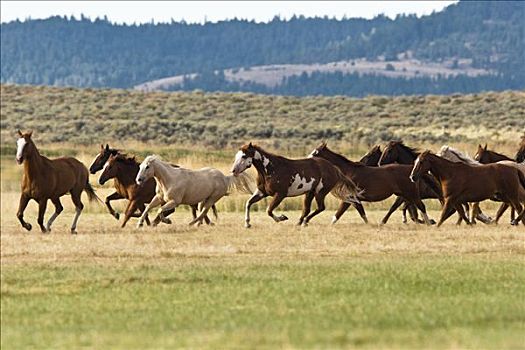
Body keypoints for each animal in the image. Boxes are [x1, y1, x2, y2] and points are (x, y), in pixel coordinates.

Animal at [231, 142, 362, 227]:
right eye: (236, 156)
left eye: (244, 156)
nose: (233, 170)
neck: (270, 168)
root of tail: (334, 168)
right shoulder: (262, 192)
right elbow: (248, 203)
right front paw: (247, 223)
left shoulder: (280, 194)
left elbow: (269, 210)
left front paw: (282, 218)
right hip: (310, 193)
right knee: (307, 209)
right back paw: (300, 222)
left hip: (320, 192)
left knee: (320, 208)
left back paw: (304, 222)